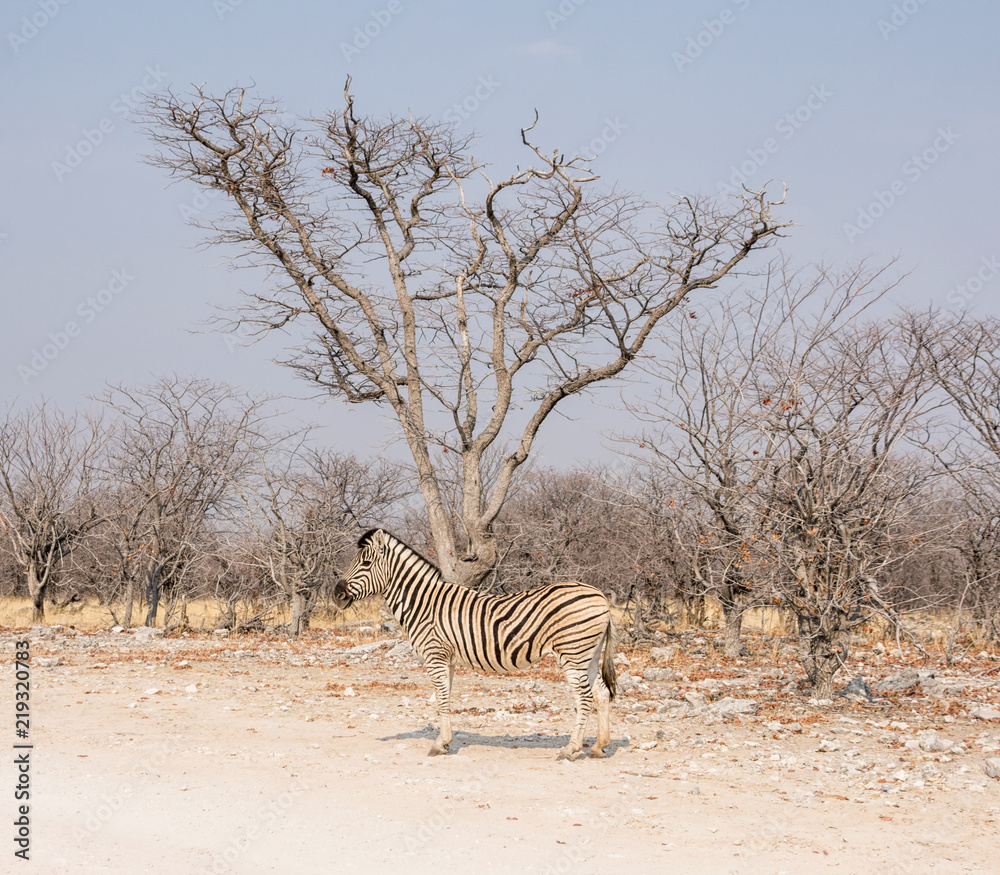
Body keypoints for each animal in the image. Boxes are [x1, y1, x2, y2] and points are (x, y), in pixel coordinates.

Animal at [332, 528, 617, 760]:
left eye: (366, 563)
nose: (336, 595)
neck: (424, 604)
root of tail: (600, 595)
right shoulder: (447, 659)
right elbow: (445, 698)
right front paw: (444, 742)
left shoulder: (435, 655)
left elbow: (442, 699)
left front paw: (439, 745)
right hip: (588, 655)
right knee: (601, 694)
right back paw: (598, 747)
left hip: (572, 653)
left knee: (585, 698)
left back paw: (571, 749)